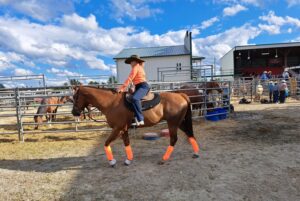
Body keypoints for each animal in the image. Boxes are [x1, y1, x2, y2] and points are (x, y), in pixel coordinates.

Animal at [71, 86, 200, 166]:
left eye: (75, 97)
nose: (74, 112)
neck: (111, 103)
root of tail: (181, 95)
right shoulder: (123, 129)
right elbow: (127, 143)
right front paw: (128, 160)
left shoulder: (117, 129)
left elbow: (106, 143)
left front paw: (112, 162)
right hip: (180, 123)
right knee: (189, 134)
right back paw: (196, 153)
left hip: (173, 123)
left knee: (173, 139)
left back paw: (164, 159)